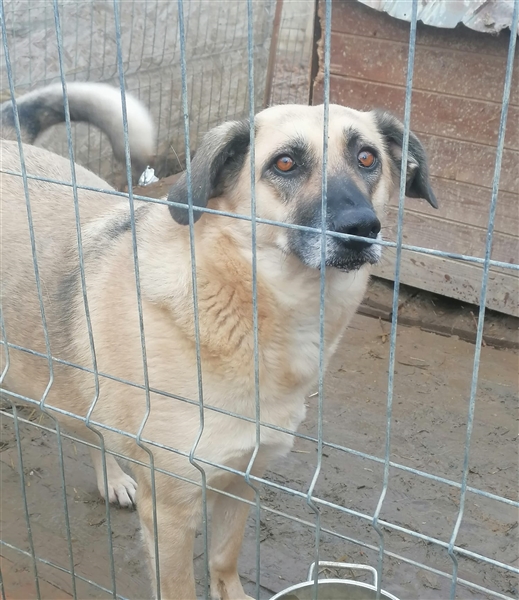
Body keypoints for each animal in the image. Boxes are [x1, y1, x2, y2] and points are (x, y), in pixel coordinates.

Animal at [0, 82, 437, 599]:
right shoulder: (170, 512)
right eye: (285, 164)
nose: (361, 229)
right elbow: (179, 586)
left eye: (367, 158)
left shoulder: (245, 474)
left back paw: (113, 479)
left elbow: (225, 558)